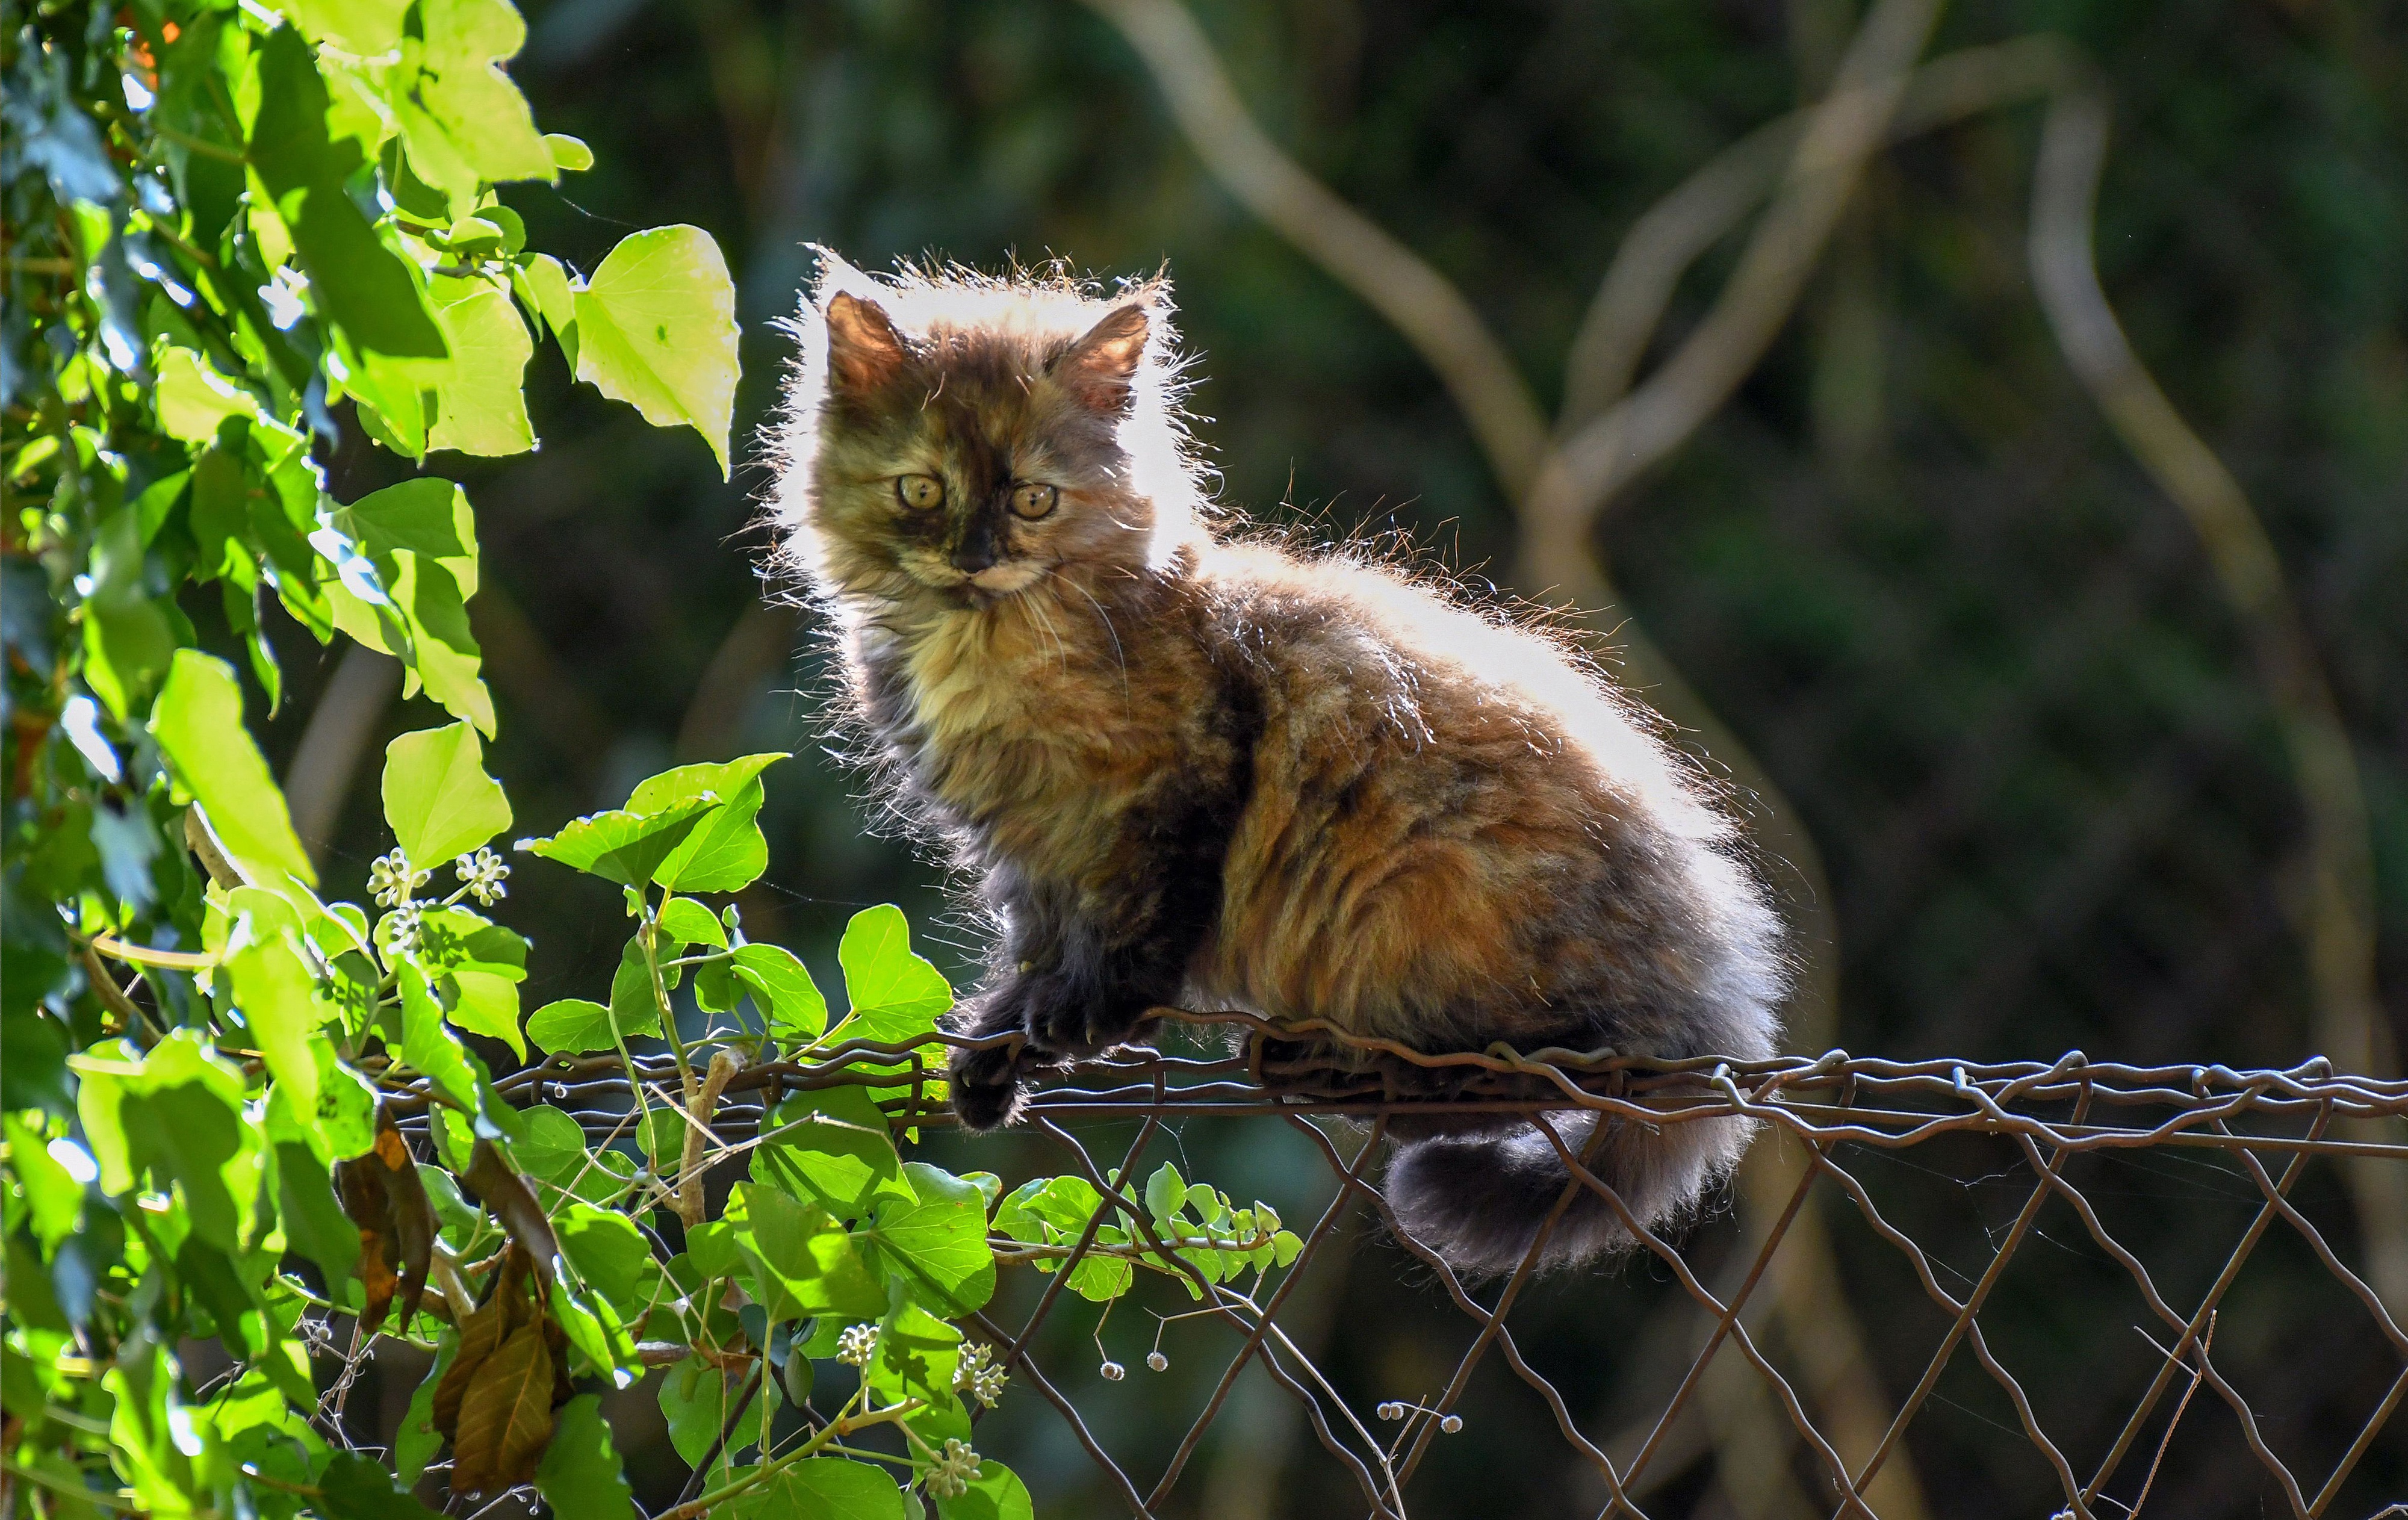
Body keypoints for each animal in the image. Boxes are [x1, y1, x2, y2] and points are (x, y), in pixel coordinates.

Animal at [771, 259, 1792, 1271]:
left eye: (1032, 499)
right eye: (922, 492)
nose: (975, 558)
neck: (983, 646)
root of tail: (1714, 987)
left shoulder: (1168, 787)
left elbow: (1134, 924)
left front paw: (1086, 1018)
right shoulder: (1027, 843)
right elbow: (1036, 945)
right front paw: (997, 1048)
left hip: (1453, 902)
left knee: (1561, 1069)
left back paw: (1354, 1074)